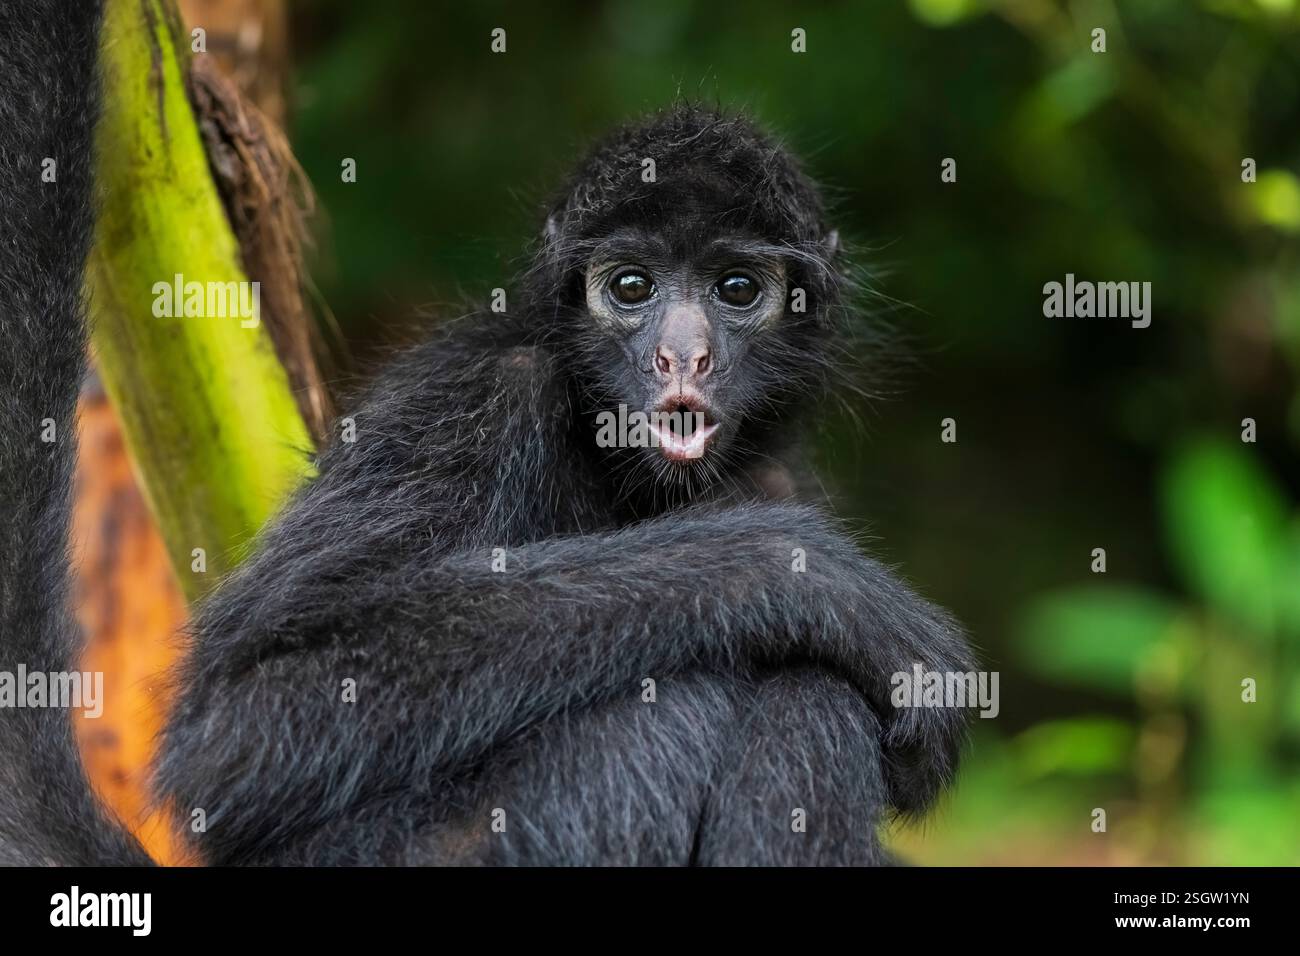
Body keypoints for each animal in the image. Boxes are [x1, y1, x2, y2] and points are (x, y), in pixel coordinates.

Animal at [0, 0, 974, 866]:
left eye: (736, 290)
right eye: (631, 287)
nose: (682, 355)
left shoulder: (776, 470)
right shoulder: (484, 393)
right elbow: (238, 727)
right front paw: (803, 574)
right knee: (744, 694)